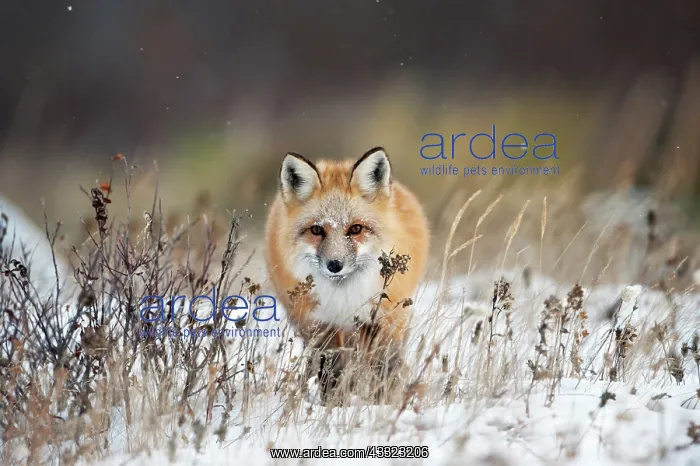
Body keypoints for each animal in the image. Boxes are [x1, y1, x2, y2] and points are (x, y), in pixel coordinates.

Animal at [264, 147, 430, 401]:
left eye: (355, 229)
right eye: (316, 230)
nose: (335, 264)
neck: (345, 297)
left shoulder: (386, 318)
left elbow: (385, 366)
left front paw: (382, 403)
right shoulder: (322, 324)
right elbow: (331, 370)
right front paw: (334, 404)